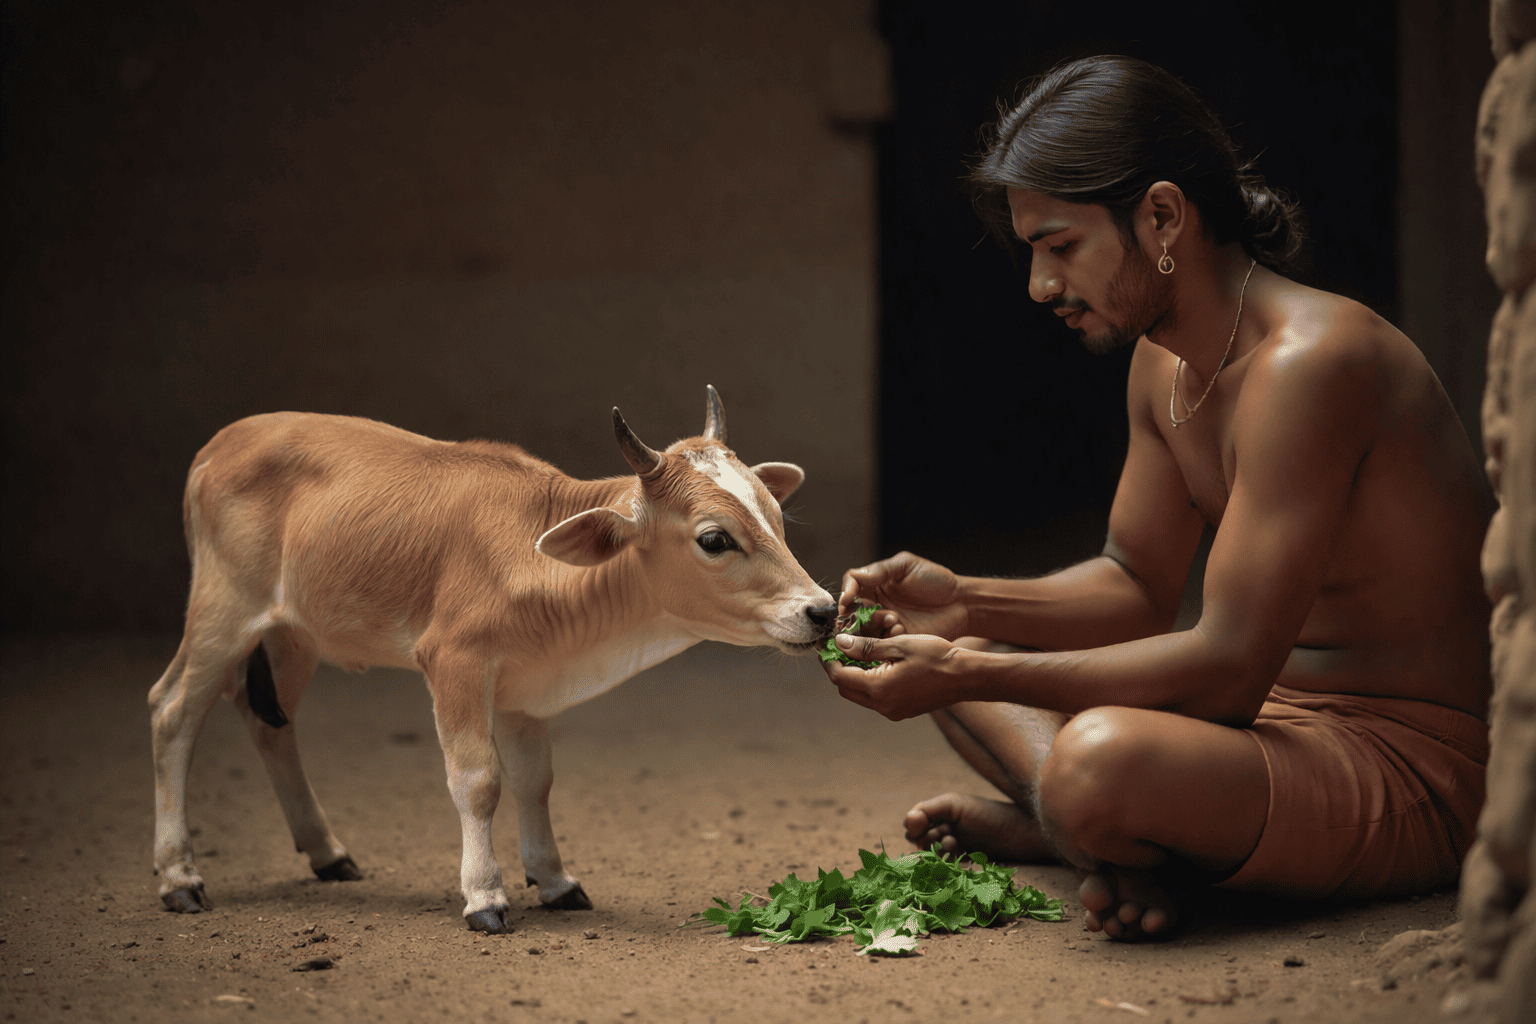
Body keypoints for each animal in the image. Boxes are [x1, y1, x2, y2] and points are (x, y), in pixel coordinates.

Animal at [147, 387, 836, 933]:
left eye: (777, 516)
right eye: (714, 538)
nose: (823, 610)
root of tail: (226, 440)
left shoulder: (522, 689)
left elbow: (536, 781)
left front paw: (555, 881)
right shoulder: (454, 662)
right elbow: (478, 780)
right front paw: (484, 895)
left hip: (294, 637)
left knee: (269, 723)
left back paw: (327, 852)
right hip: (222, 611)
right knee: (172, 710)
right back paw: (179, 876)